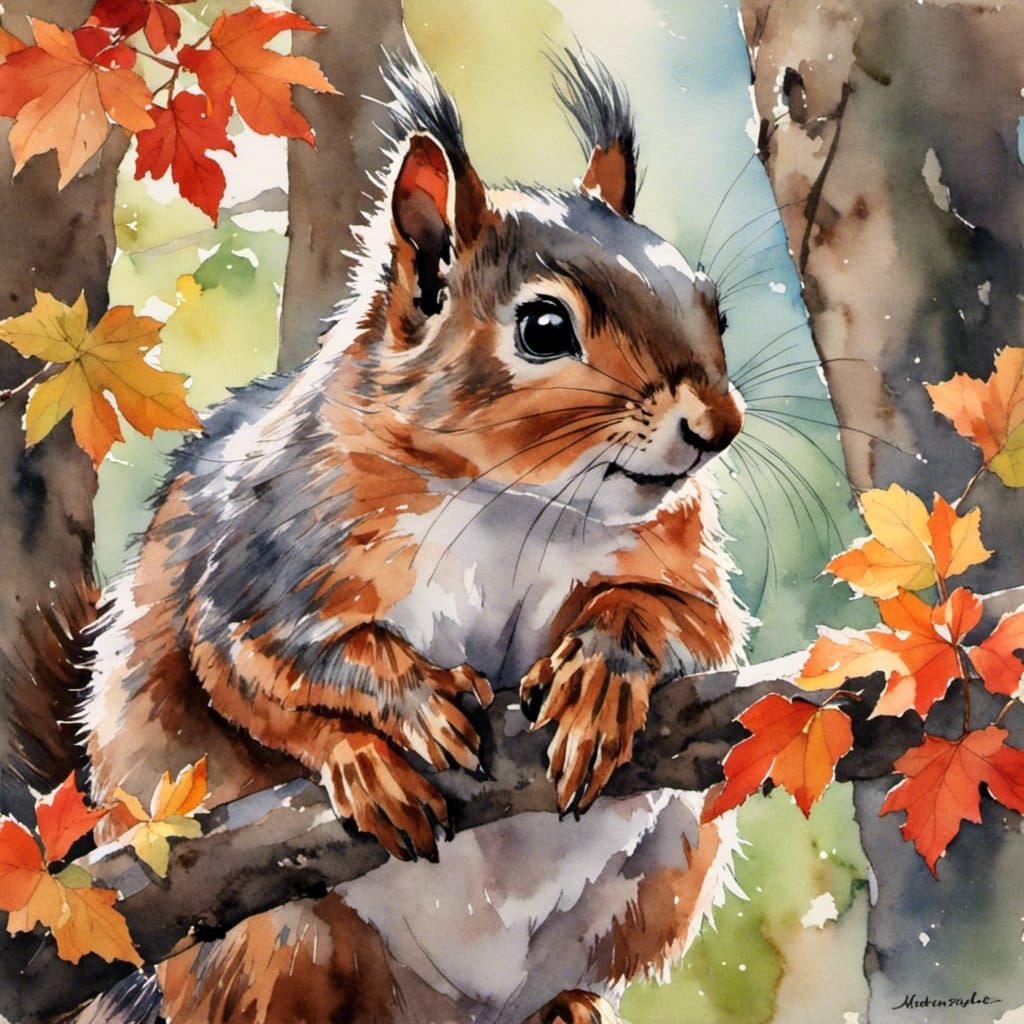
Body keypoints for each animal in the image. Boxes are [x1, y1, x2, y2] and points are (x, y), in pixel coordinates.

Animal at [82, 49, 750, 1024]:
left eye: (713, 306)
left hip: (661, 878)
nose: (717, 427)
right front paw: (400, 716)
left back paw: (563, 1005)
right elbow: (256, 669)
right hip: (270, 945)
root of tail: (459, 1004)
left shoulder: (677, 557)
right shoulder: (265, 564)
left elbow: (690, 623)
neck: (514, 503)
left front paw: (598, 674)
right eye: (543, 328)